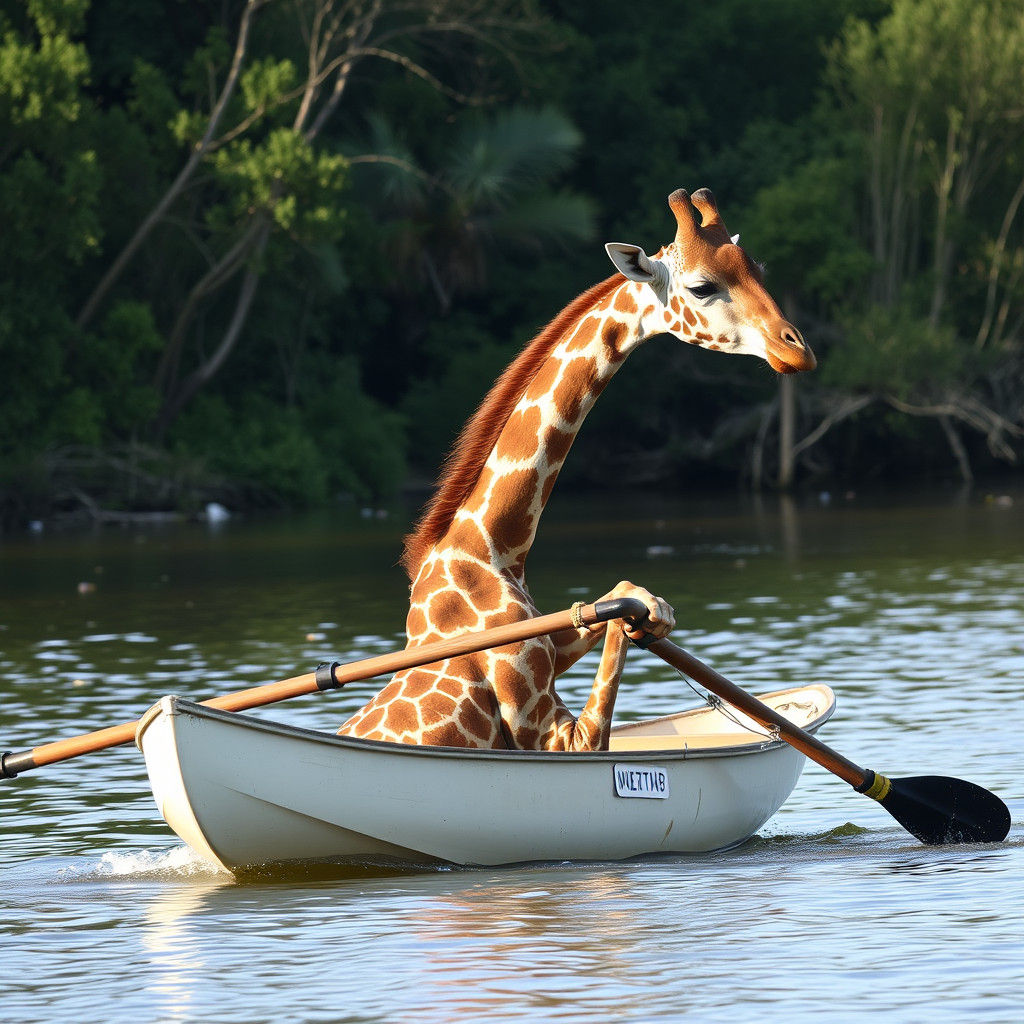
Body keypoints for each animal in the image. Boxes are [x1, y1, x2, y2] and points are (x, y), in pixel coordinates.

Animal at [340, 188, 815, 751]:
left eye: (758, 269)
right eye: (702, 287)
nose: (797, 351)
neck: (492, 551)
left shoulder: (554, 646)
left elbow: (604, 605)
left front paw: (655, 610)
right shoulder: (551, 732)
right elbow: (612, 645)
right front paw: (648, 612)